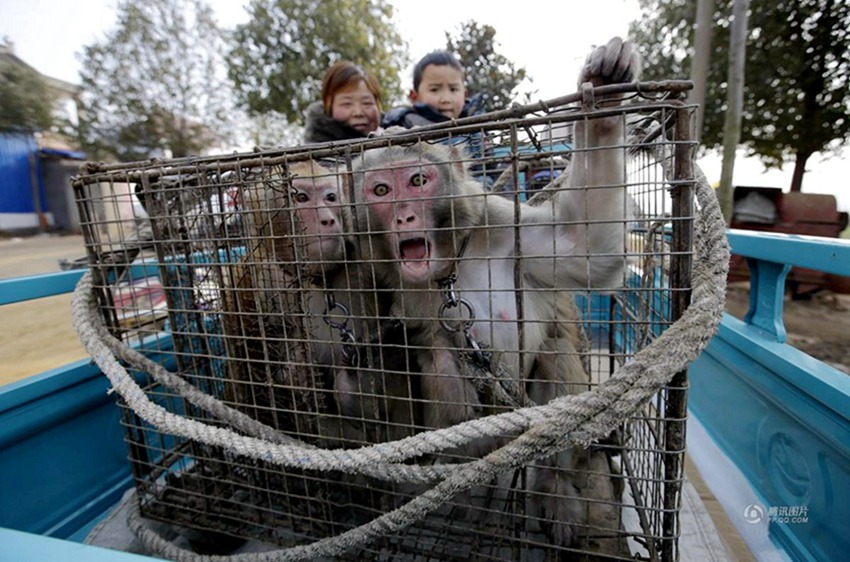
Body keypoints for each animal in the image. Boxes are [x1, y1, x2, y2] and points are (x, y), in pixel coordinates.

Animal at [348, 36, 640, 548]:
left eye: (418, 181)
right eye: (381, 190)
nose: (404, 216)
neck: (449, 266)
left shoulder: (505, 227)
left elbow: (583, 246)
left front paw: (604, 95)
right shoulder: (389, 280)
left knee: (555, 361)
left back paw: (554, 490)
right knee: (444, 367)